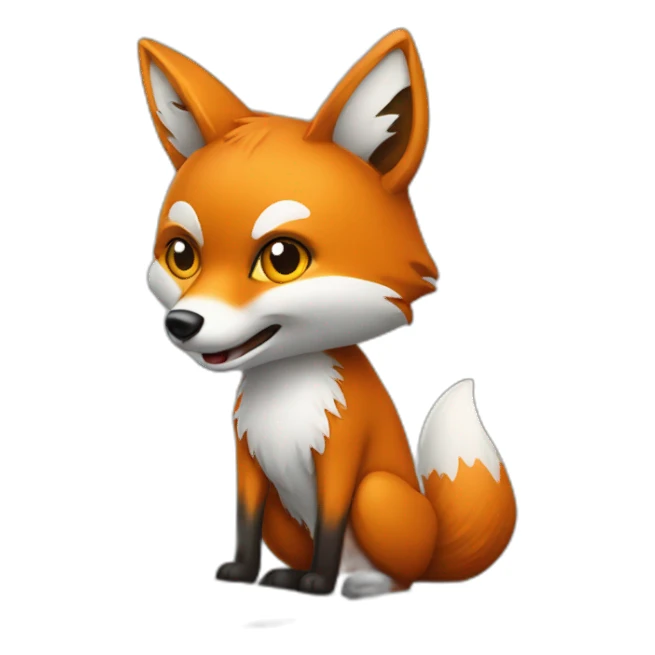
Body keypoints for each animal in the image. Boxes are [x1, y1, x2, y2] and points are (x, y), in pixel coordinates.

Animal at [137, 29, 516, 599]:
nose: (182, 325)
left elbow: (333, 524)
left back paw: (359, 584)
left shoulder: (341, 453)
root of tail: (434, 548)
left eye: (282, 258)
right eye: (182, 255)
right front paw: (243, 573)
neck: (284, 394)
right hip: (286, 516)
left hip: (379, 494)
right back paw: (287, 576)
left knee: (402, 577)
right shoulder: (248, 459)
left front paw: (318, 584)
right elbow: (244, 523)